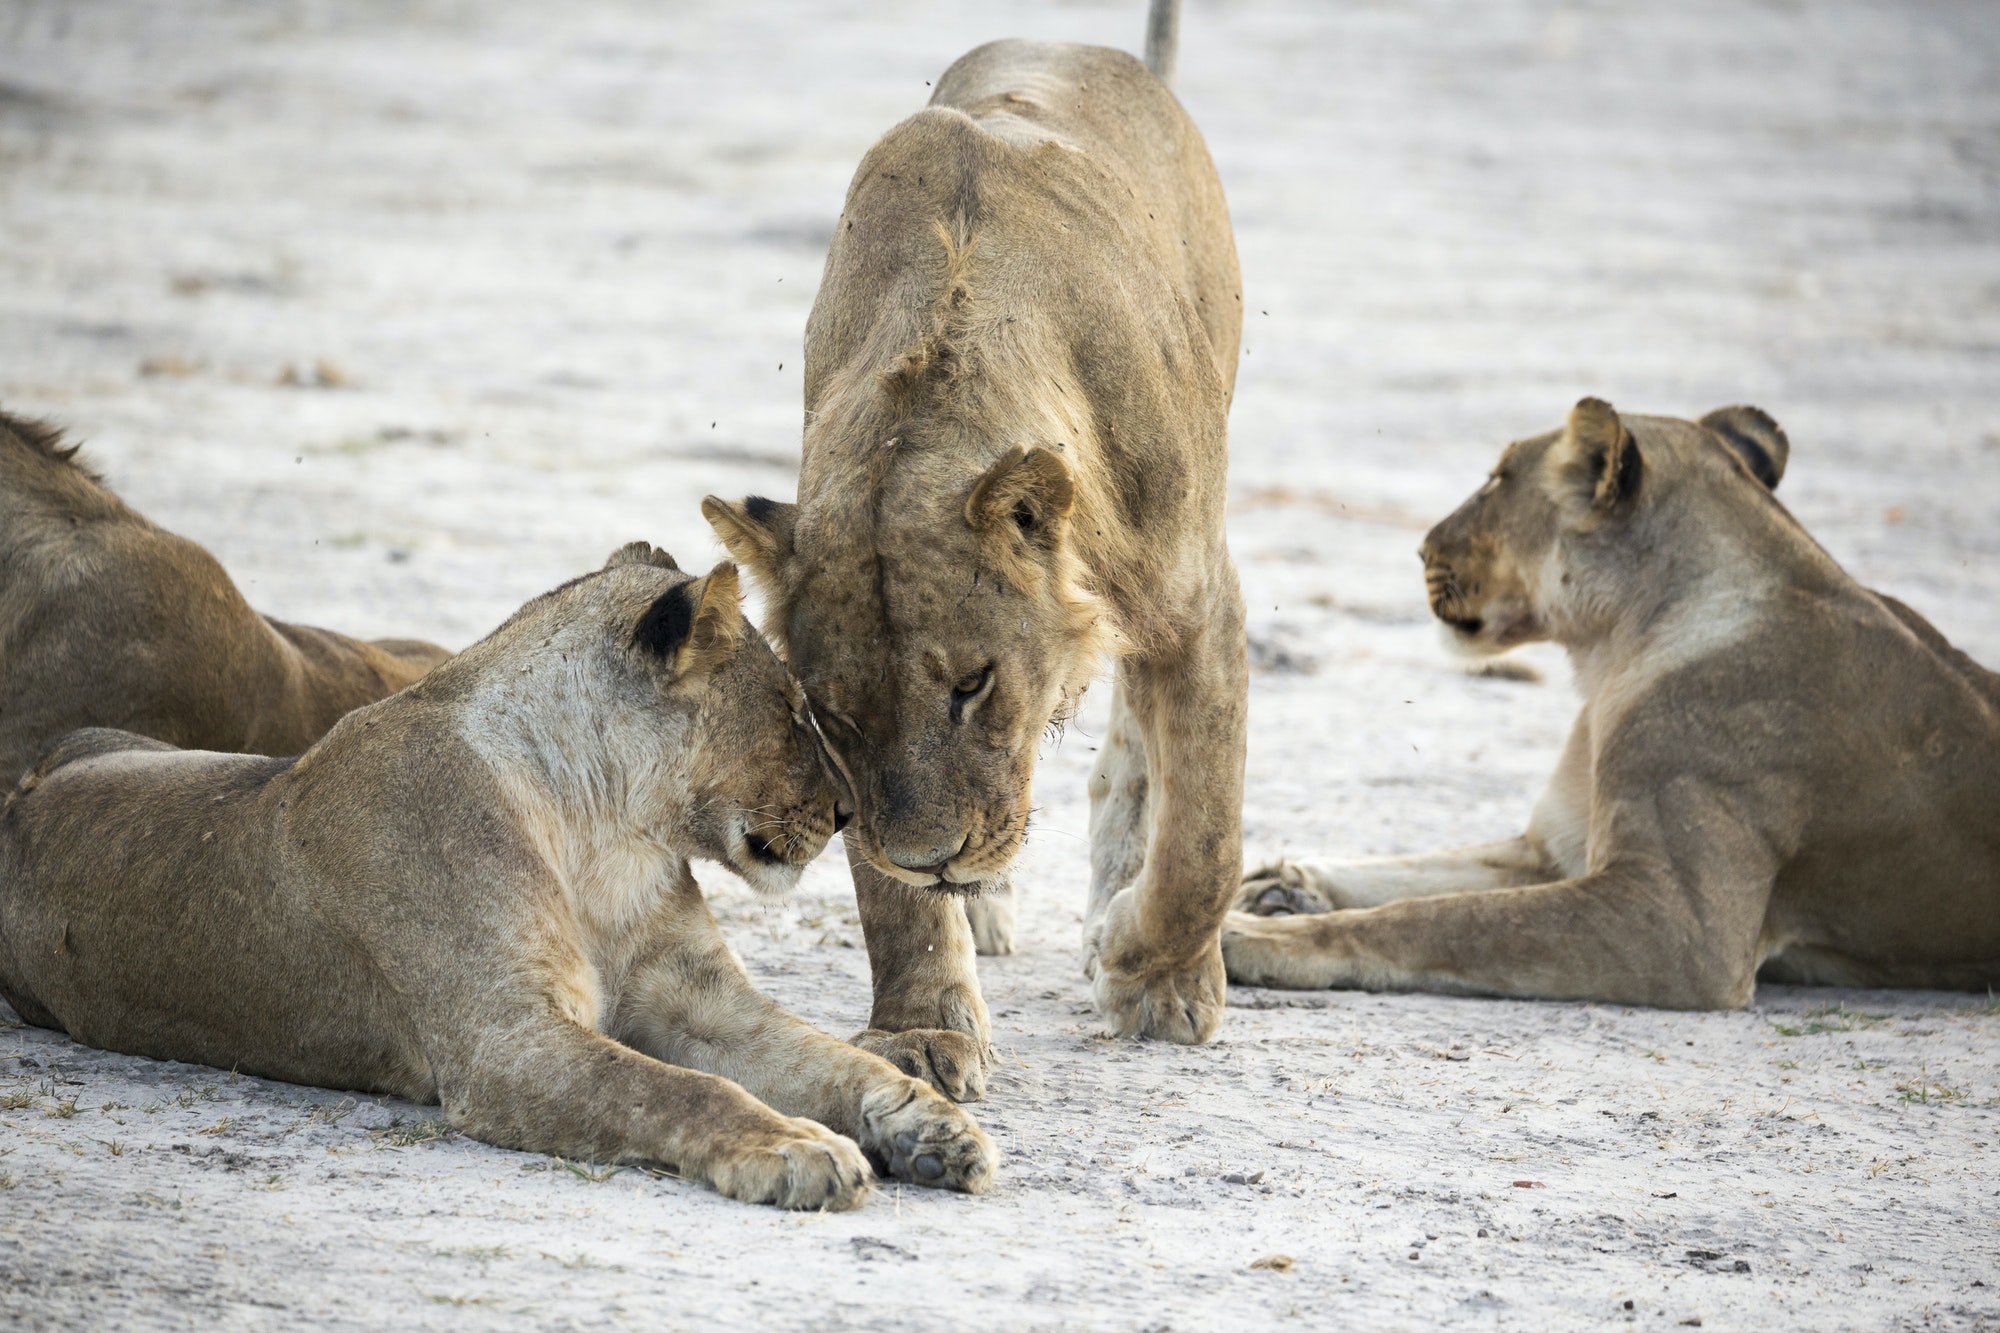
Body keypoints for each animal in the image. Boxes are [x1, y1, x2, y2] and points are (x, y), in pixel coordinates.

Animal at [0, 544, 1000, 1208]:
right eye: (794, 711)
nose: (845, 812)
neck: (603, 828)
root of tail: (23, 795)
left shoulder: (702, 1002)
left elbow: (828, 1056)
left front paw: (929, 1128)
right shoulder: (505, 1040)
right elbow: (676, 1088)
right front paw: (796, 1146)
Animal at [1216, 400, 2000, 1000]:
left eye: (1498, 479)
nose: (1421, 547)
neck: (1609, 654)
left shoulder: (1677, 924)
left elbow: (1442, 918)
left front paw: (1255, 934)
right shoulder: (1557, 846)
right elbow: (1424, 878)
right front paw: (1276, 883)